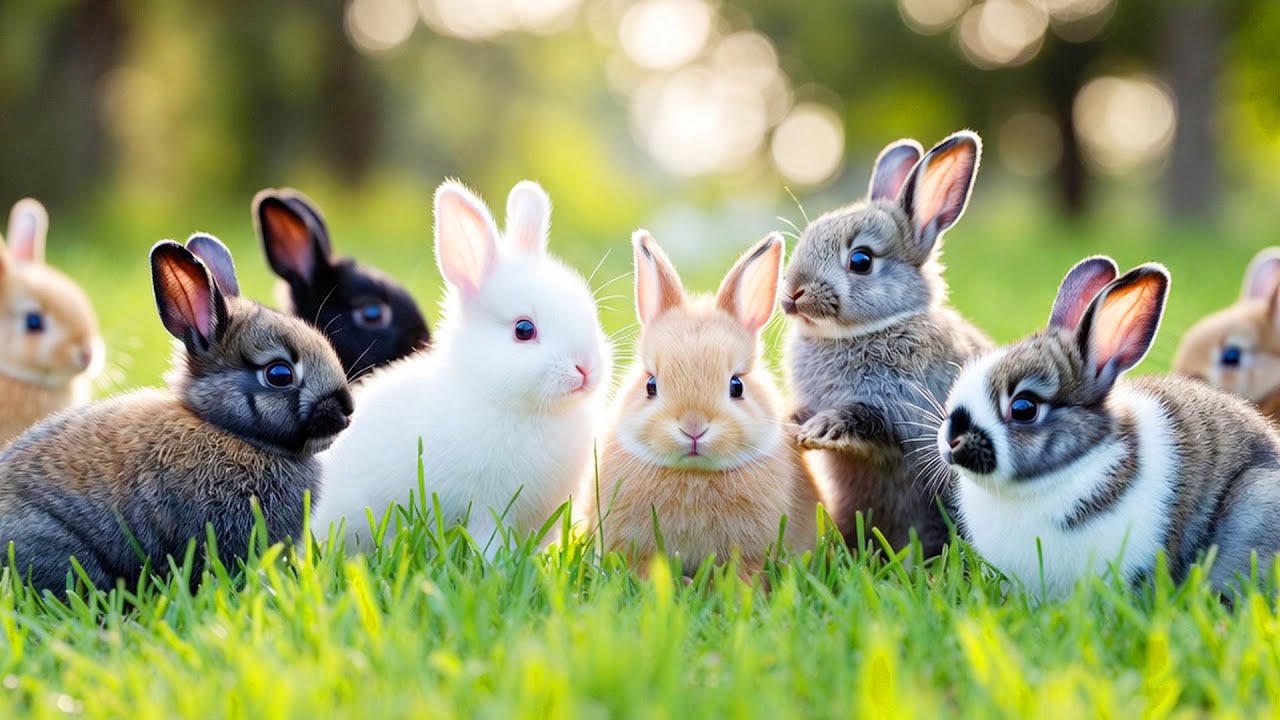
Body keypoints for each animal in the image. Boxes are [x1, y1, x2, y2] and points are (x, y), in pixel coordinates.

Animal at [313, 179, 612, 555]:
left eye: (589, 313)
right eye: (524, 329)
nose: (586, 368)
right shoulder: (486, 509)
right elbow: (488, 542)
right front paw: (495, 563)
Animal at [781, 131, 992, 556]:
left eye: (861, 260)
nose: (793, 293)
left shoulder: (899, 412)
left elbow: (863, 420)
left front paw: (819, 430)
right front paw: (788, 422)